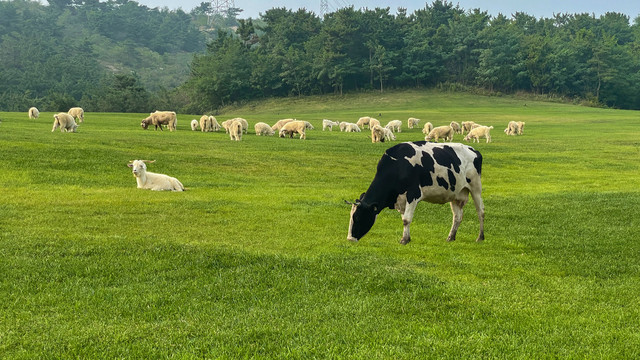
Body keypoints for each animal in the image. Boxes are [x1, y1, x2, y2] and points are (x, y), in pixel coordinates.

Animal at [348, 141, 482, 245]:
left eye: (358, 217)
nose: (350, 239)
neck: (399, 165)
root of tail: (474, 150)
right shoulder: (401, 200)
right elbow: (404, 218)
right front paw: (407, 237)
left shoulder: (413, 194)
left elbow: (406, 219)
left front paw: (404, 240)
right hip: (456, 195)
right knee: (457, 217)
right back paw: (451, 237)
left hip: (476, 188)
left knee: (480, 212)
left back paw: (480, 237)